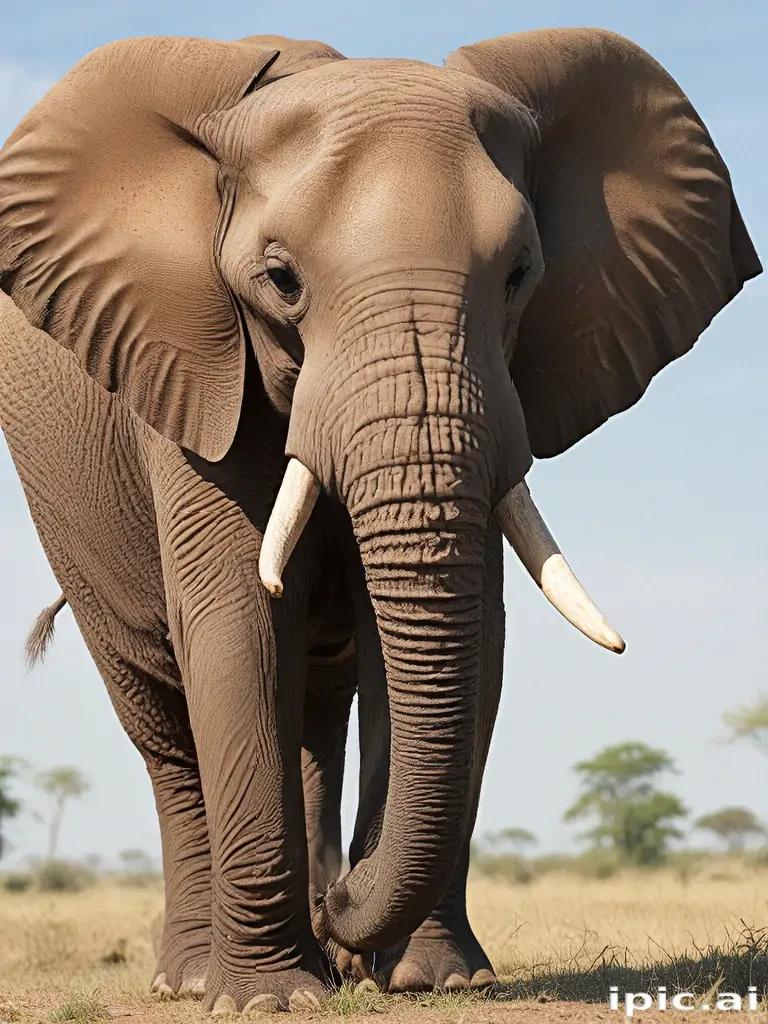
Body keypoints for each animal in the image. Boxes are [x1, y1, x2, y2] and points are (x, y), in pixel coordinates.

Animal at [0, 26, 760, 1014]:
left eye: (520, 276)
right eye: (280, 280)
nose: (342, 905)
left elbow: (473, 632)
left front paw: (434, 980)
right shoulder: (192, 361)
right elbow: (238, 621)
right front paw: (272, 1000)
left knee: (317, 712)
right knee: (162, 721)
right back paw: (195, 975)